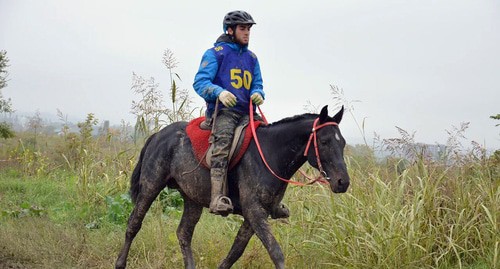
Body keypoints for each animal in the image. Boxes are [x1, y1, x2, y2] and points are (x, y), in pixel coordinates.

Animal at [116, 105, 352, 268]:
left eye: (342, 143)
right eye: (324, 142)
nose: (343, 182)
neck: (270, 154)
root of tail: (158, 135)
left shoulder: (255, 215)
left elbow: (235, 252)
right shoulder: (254, 212)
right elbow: (276, 252)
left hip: (192, 198)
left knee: (184, 233)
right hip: (150, 186)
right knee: (133, 224)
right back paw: (120, 262)